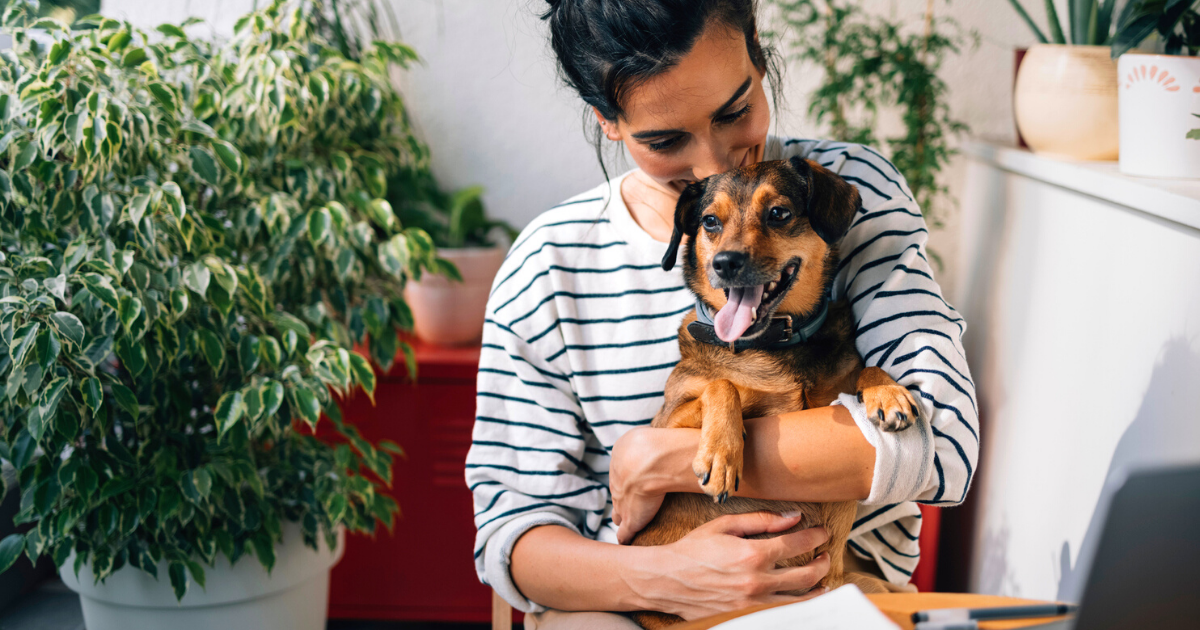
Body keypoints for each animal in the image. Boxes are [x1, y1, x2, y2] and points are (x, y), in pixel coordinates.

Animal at [628, 156, 916, 624]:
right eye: (710, 222)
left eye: (778, 213)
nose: (725, 262)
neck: (773, 345)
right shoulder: (662, 425)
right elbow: (721, 384)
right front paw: (721, 455)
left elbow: (868, 367)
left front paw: (888, 393)